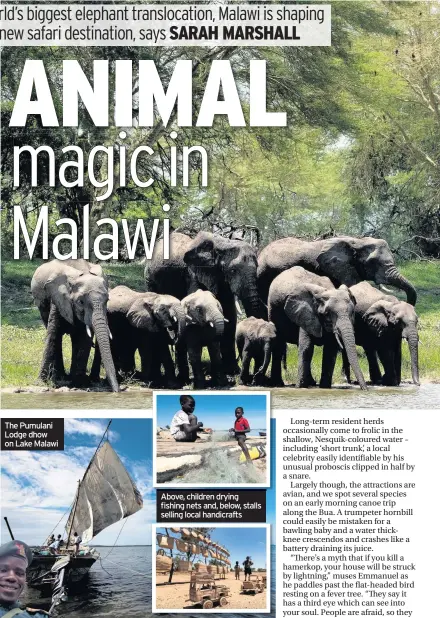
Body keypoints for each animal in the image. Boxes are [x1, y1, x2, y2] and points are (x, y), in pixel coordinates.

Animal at [31, 258, 118, 390]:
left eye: (107, 300)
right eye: (80, 302)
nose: (117, 390)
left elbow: (84, 338)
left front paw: (79, 384)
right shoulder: (59, 299)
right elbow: (53, 334)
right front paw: (41, 383)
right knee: (58, 337)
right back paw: (60, 377)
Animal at [147, 230, 264, 370]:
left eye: (257, 267)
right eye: (233, 270)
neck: (222, 244)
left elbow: (230, 314)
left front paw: (233, 371)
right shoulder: (193, 273)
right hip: (150, 279)